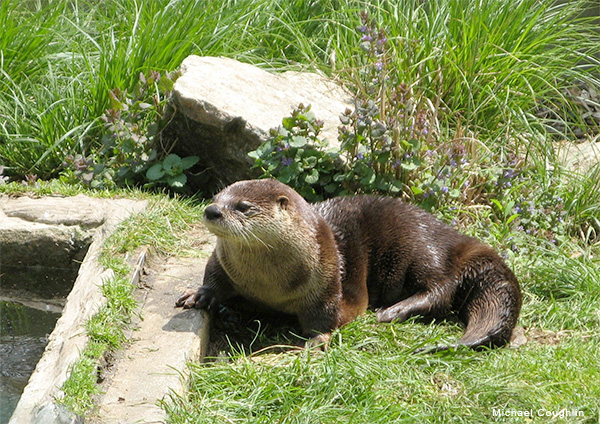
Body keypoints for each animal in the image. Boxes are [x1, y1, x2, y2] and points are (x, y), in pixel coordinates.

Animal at [177, 179, 520, 352]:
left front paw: (318, 340)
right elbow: (213, 277)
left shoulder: (326, 283)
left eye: (242, 207)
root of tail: (456, 239)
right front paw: (201, 296)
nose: (211, 211)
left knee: (440, 290)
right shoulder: (222, 262)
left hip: (421, 246)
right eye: (216, 196)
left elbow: (326, 317)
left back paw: (392, 311)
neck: (268, 284)